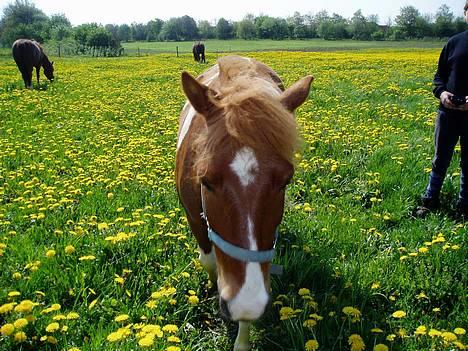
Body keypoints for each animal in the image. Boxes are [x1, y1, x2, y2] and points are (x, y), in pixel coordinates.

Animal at [176, 55, 314, 351]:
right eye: (206, 181)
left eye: (286, 180)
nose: (246, 301)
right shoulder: (193, 217)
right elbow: (209, 261)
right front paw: (214, 286)